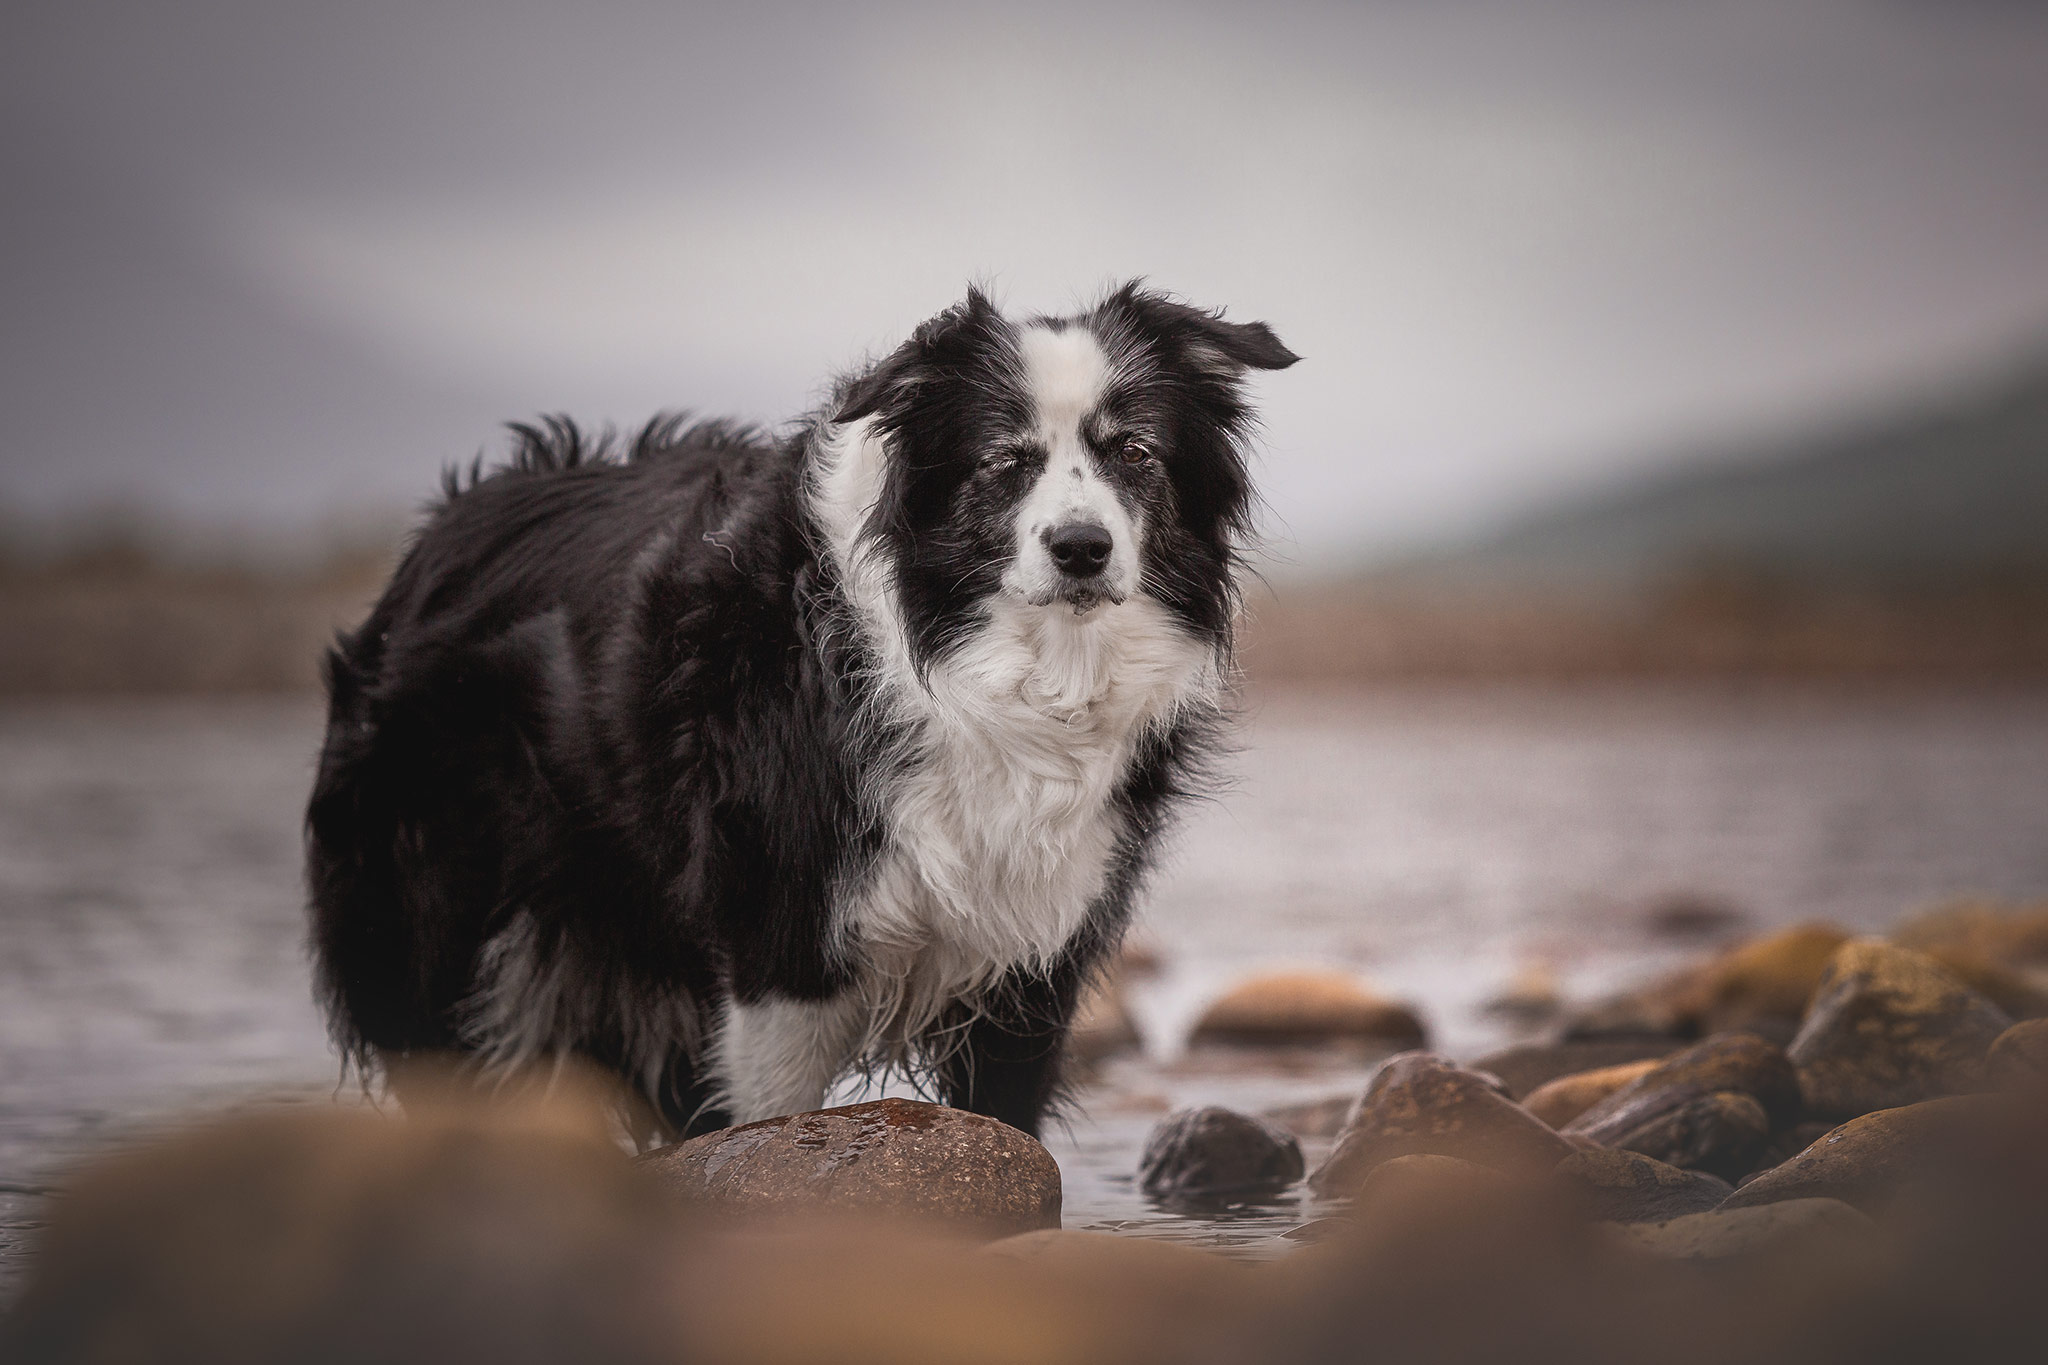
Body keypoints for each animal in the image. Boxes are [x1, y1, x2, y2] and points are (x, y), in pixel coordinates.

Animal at [303, 286, 1294, 1146]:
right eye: (1005, 460)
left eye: (1134, 452)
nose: (1082, 548)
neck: (994, 674)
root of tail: (445, 524)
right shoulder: (783, 944)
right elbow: (771, 1124)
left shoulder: (1034, 953)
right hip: (428, 921)